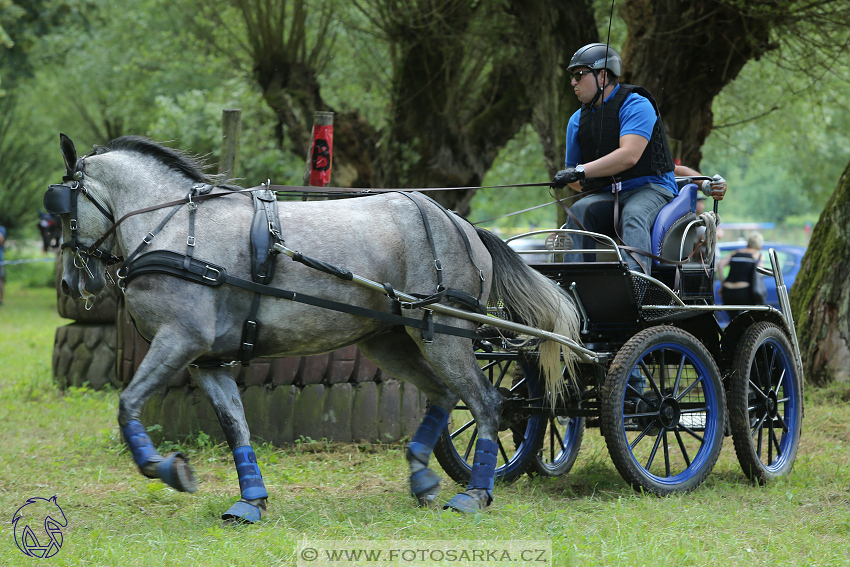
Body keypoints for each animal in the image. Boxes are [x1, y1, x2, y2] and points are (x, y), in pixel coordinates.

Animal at [49, 135, 580, 520]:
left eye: (61, 210)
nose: (71, 283)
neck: (174, 228)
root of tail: (460, 223)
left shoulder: (179, 341)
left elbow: (128, 404)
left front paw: (164, 468)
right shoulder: (208, 360)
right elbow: (235, 425)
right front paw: (251, 499)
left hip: (445, 333)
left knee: (486, 402)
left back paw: (475, 493)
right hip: (389, 340)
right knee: (445, 395)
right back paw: (423, 476)